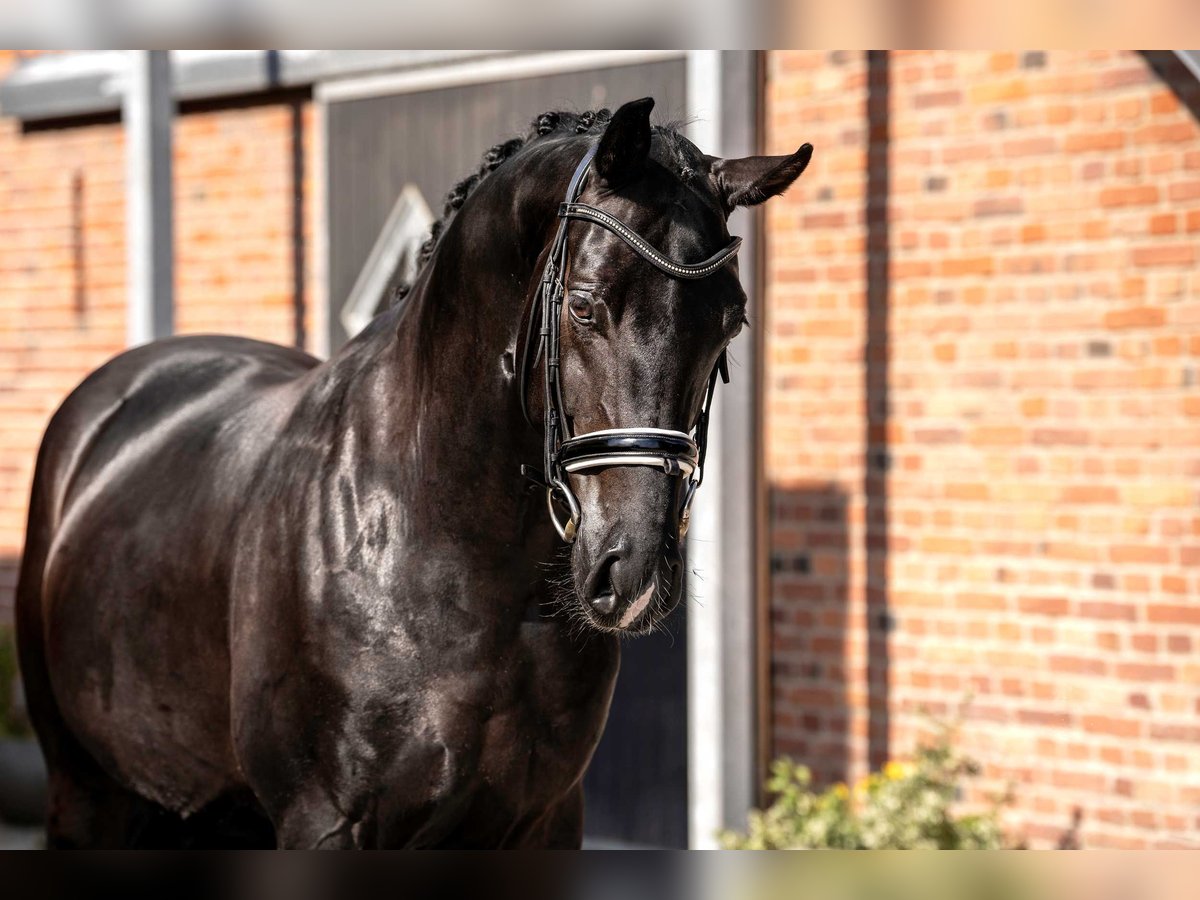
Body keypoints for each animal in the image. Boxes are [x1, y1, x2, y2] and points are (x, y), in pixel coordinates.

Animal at [16, 102, 806, 849]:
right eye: (583, 304)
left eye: (730, 321)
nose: (634, 570)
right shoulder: (325, 822)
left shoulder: (542, 820)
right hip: (83, 790)